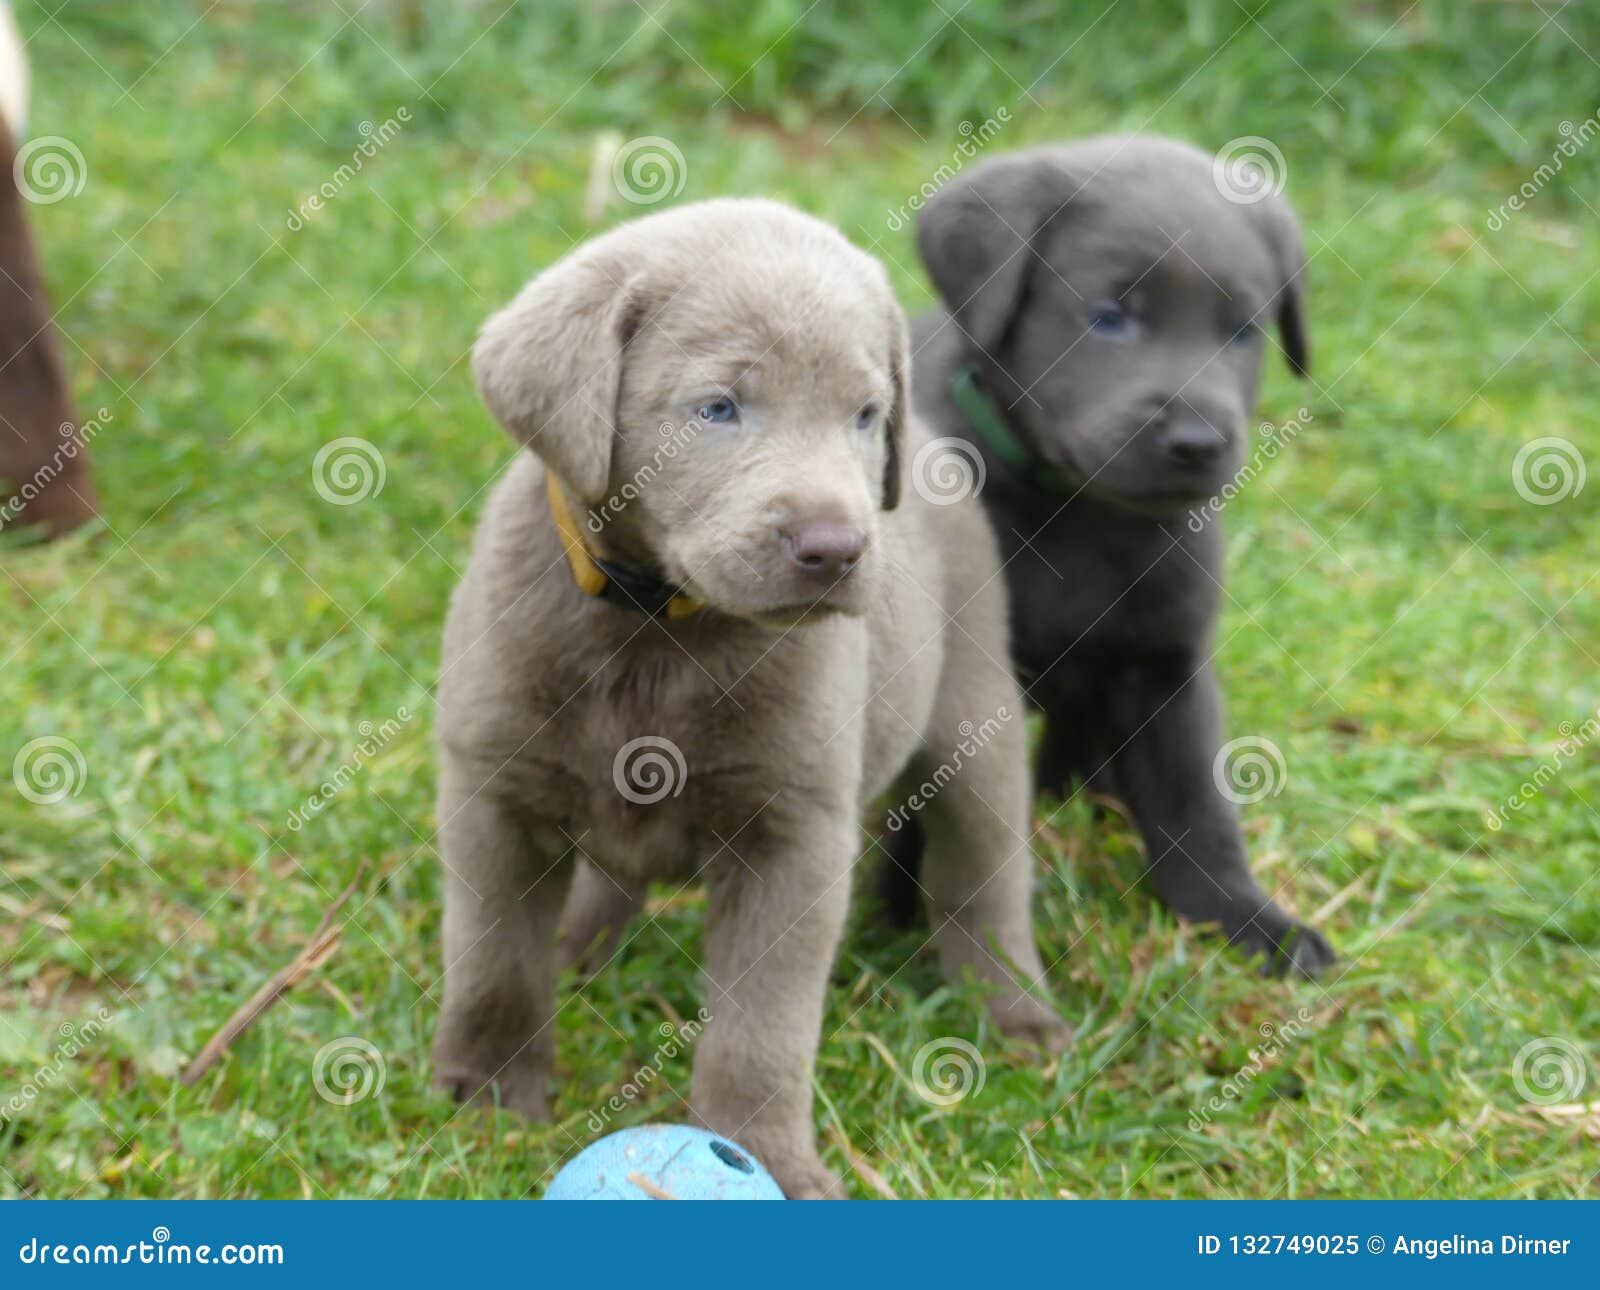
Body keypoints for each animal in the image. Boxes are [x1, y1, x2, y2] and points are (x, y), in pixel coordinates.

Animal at [432, 201, 1068, 1203]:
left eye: (863, 416)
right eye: (718, 409)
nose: (836, 548)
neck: (659, 628)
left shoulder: (793, 837)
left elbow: (761, 1027)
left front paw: (765, 1157)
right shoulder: (493, 792)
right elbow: (494, 959)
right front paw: (490, 1095)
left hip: (974, 716)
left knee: (987, 880)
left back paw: (1016, 1013)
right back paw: (580, 946)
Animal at [889, 133, 1337, 979]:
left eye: (1243, 333)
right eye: (1109, 318)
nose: (1198, 442)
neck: (1073, 513)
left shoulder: (1165, 668)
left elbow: (1197, 811)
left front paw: (1246, 919)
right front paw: (895, 925)